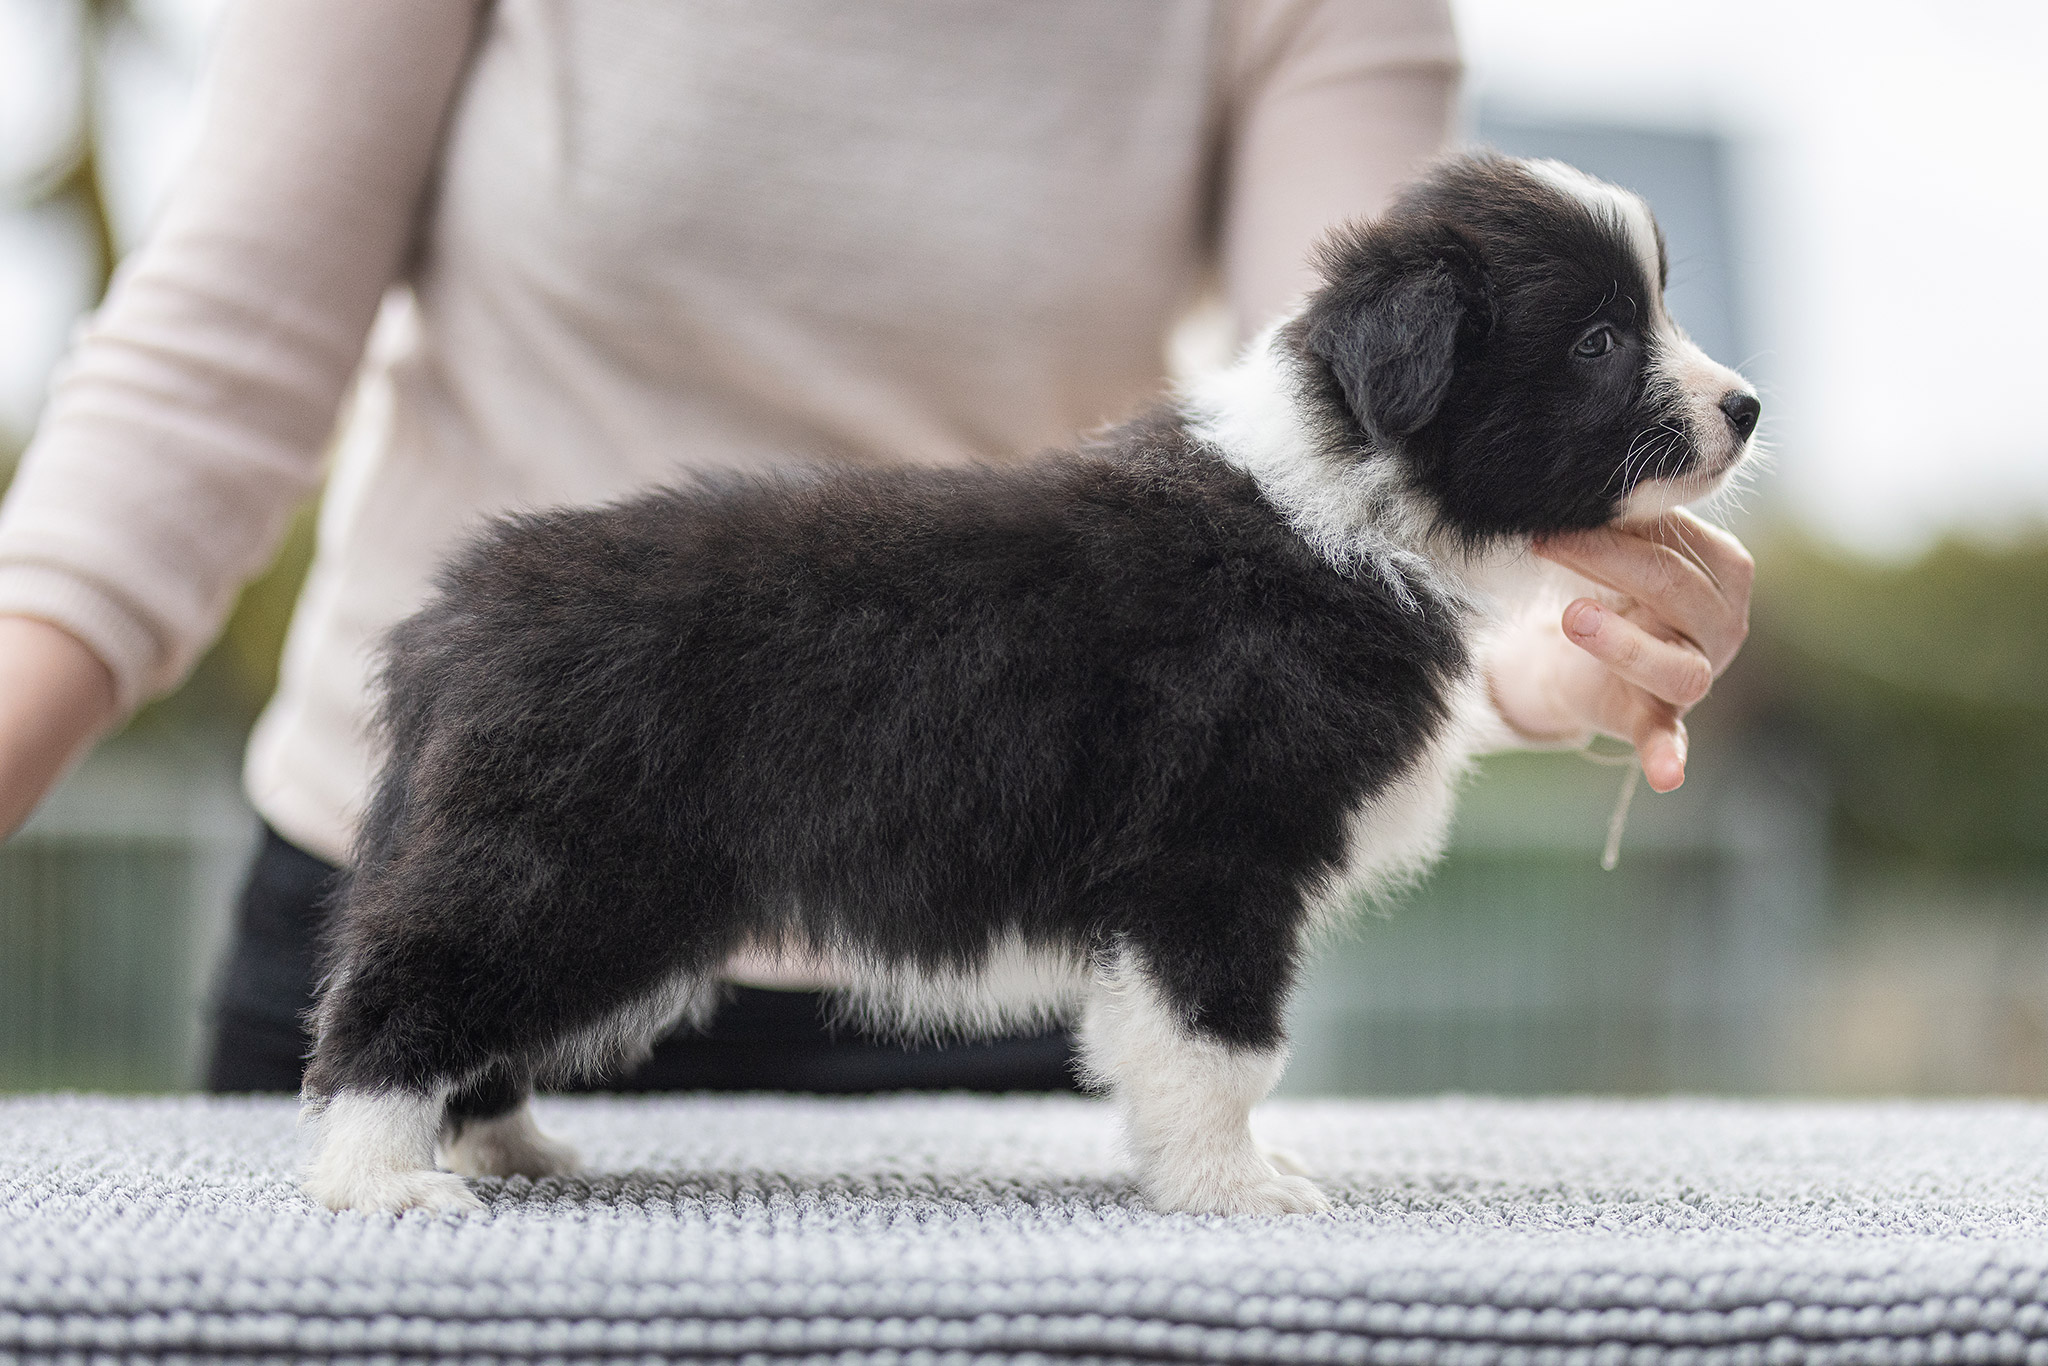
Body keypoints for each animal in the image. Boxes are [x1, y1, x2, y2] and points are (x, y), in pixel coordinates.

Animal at [299, 154, 1761, 1212]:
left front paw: (1231, 1171)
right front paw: (1233, 1187)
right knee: (402, 991)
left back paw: (500, 1146)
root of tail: (454, 614)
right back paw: (383, 1182)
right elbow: (1223, 1045)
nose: (1747, 407)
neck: (1358, 492)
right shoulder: (1214, 858)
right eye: (1597, 341)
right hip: (570, 863)